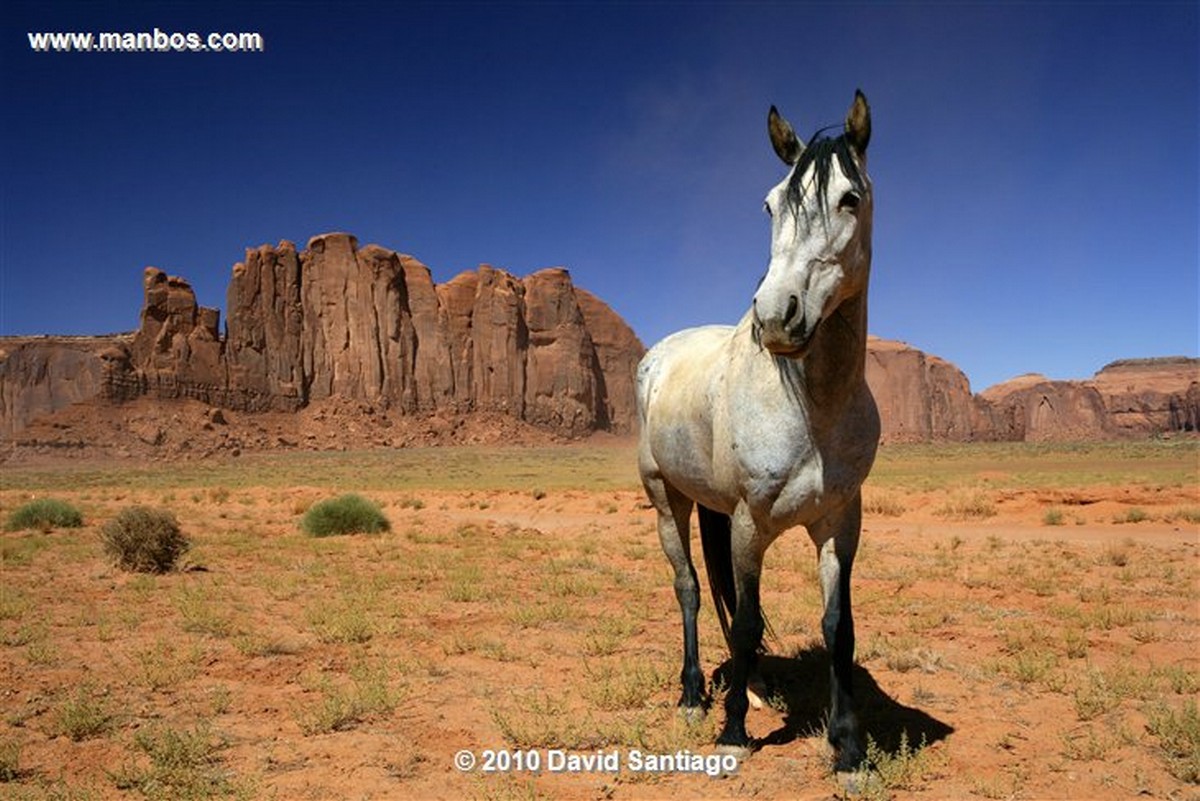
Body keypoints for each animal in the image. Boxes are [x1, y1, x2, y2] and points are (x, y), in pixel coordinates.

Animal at [638, 89, 883, 767]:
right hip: (667, 500)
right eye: (770, 204)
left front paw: (847, 746)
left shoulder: (841, 524)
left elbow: (838, 627)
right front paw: (734, 731)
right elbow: (747, 619)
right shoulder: (751, 525)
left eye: (849, 199)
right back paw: (695, 695)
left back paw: (751, 684)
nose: (775, 317)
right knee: (690, 588)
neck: (812, 409)